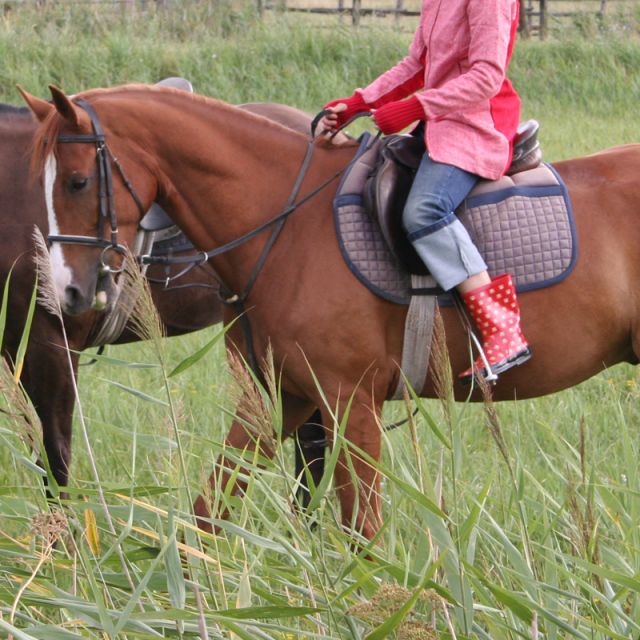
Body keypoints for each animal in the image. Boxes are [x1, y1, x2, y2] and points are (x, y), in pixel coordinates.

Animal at [20, 82, 640, 536]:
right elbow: (208, 512)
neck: (289, 223)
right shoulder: (276, 396)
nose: (66, 294)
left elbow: (364, 532)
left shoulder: (351, 402)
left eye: (77, 182)